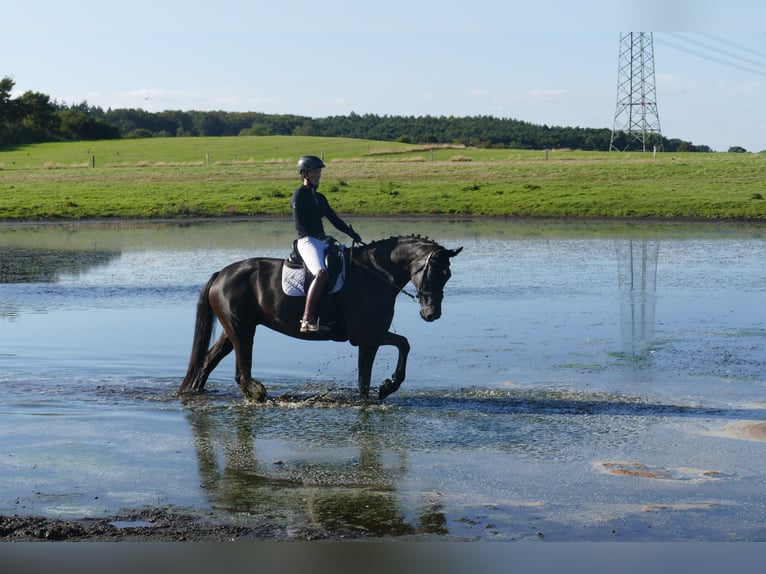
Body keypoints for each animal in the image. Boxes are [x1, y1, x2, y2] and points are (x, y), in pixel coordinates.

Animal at [179, 235, 462, 401]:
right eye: (433, 272)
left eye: (447, 275)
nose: (432, 314)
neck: (376, 274)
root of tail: (221, 273)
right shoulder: (365, 334)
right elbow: (404, 343)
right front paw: (389, 385)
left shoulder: (368, 340)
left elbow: (364, 378)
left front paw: (372, 396)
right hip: (242, 331)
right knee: (241, 373)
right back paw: (259, 395)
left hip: (234, 331)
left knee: (207, 361)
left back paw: (197, 394)